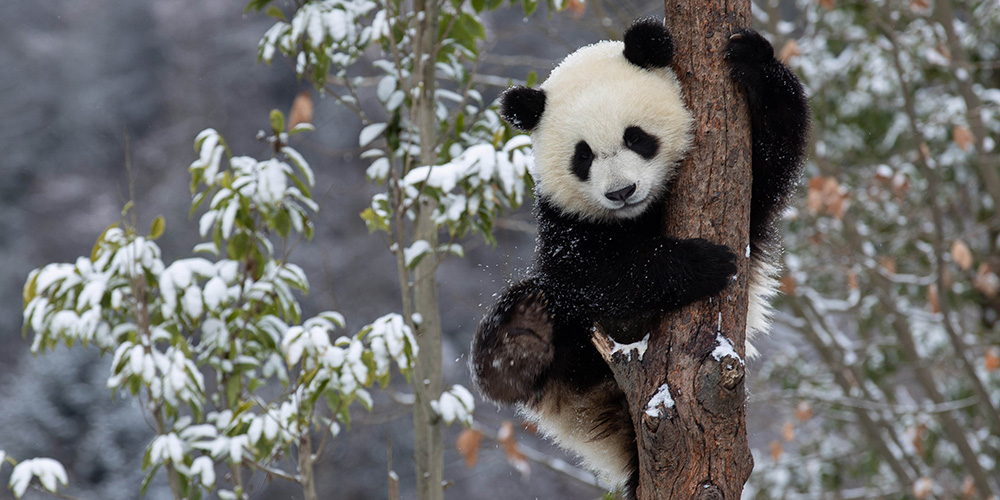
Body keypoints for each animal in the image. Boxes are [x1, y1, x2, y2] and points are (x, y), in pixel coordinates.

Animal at [471, 18, 808, 497]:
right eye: (583, 156)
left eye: (636, 137)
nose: (621, 192)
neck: (638, 217)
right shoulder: (564, 221)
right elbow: (592, 274)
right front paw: (704, 265)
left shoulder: (748, 193)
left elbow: (772, 157)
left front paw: (751, 58)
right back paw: (520, 338)